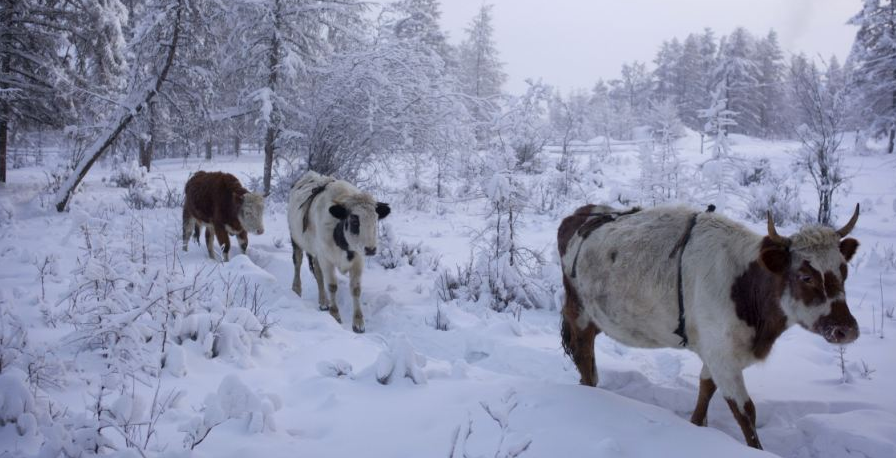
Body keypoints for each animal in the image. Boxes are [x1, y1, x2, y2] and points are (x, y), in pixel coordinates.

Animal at [288, 172, 390, 332]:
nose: (371, 249)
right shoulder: (326, 259)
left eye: (375, 220)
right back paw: (297, 290)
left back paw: (323, 302)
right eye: (354, 221)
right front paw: (335, 315)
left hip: (316, 252)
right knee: (297, 263)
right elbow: (332, 286)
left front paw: (358, 323)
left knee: (318, 274)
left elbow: (356, 289)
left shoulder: (358, 261)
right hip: (296, 239)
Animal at [560, 203, 860, 448]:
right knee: (583, 355)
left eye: (844, 271)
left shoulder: (716, 352)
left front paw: (696, 426)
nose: (846, 329)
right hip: (579, 313)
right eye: (805, 276)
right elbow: (746, 412)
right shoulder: (723, 356)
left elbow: (706, 390)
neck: (744, 285)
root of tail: (580, 214)